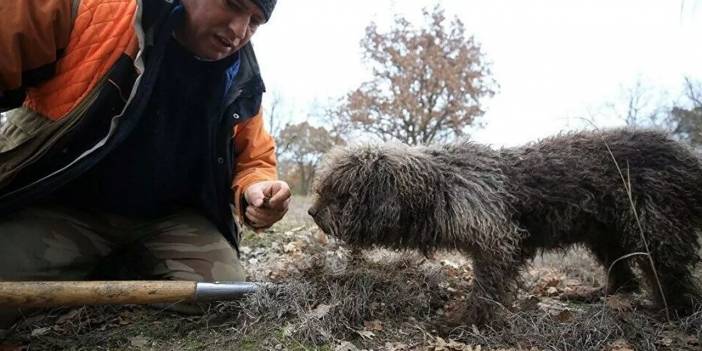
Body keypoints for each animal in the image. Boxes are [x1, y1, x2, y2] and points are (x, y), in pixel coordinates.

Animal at [310, 128, 702, 326]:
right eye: (323, 189)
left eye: (340, 195)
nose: (313, 212)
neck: (440, 186)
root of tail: (689, 157)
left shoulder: (495, 241)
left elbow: (486, 287)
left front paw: (469, 319)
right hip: (604, 232)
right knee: (623, 274)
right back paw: (605, 296)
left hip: (654, 225)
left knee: (669, 273)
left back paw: (671, 313)